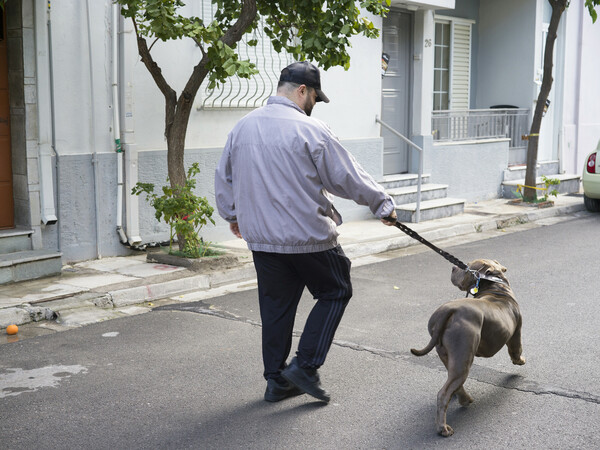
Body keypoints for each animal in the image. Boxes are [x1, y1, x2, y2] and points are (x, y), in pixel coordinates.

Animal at [412, 258, 524, 438]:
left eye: (467, 266)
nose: (453, 266)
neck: (495, 286)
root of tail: (449, 310)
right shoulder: (516, 333)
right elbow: (516, 350)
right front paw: (520, 361)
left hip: (450, 356)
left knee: (454, 382)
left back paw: (464, 398)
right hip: (463, 354)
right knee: (443, 393)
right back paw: (443, 428)